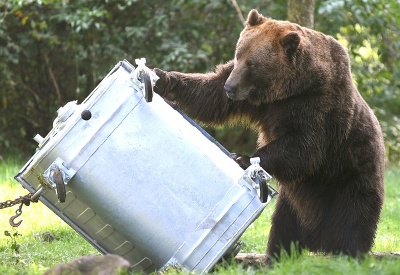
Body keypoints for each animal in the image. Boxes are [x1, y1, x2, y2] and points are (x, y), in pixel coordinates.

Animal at [152, 9, 384, 264]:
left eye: (252, 63)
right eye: (238, 54)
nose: (230, 87)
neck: (290, 88)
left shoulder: (317, 106)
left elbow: (303, 147)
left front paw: (243, 158)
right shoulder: (262, 102)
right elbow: (210, 95)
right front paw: (162, 78)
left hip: (349, 181)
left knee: (352, 227)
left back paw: (346, 256)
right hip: (292, 203)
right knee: (284, 228)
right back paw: (276, 257)